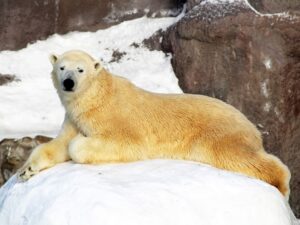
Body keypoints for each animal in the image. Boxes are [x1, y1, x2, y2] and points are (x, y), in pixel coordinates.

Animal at [18, 50, 290, 197]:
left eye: (80, 69)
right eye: (61, 67)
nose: (68, 82)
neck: (96, 97)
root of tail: (250, 124)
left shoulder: (117, 117)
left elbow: (119, 142)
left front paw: (81, 144)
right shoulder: (74, 117)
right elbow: (58, 144)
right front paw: (27, 169)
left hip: (218, 133)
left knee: (238, 156)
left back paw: (280, 182)